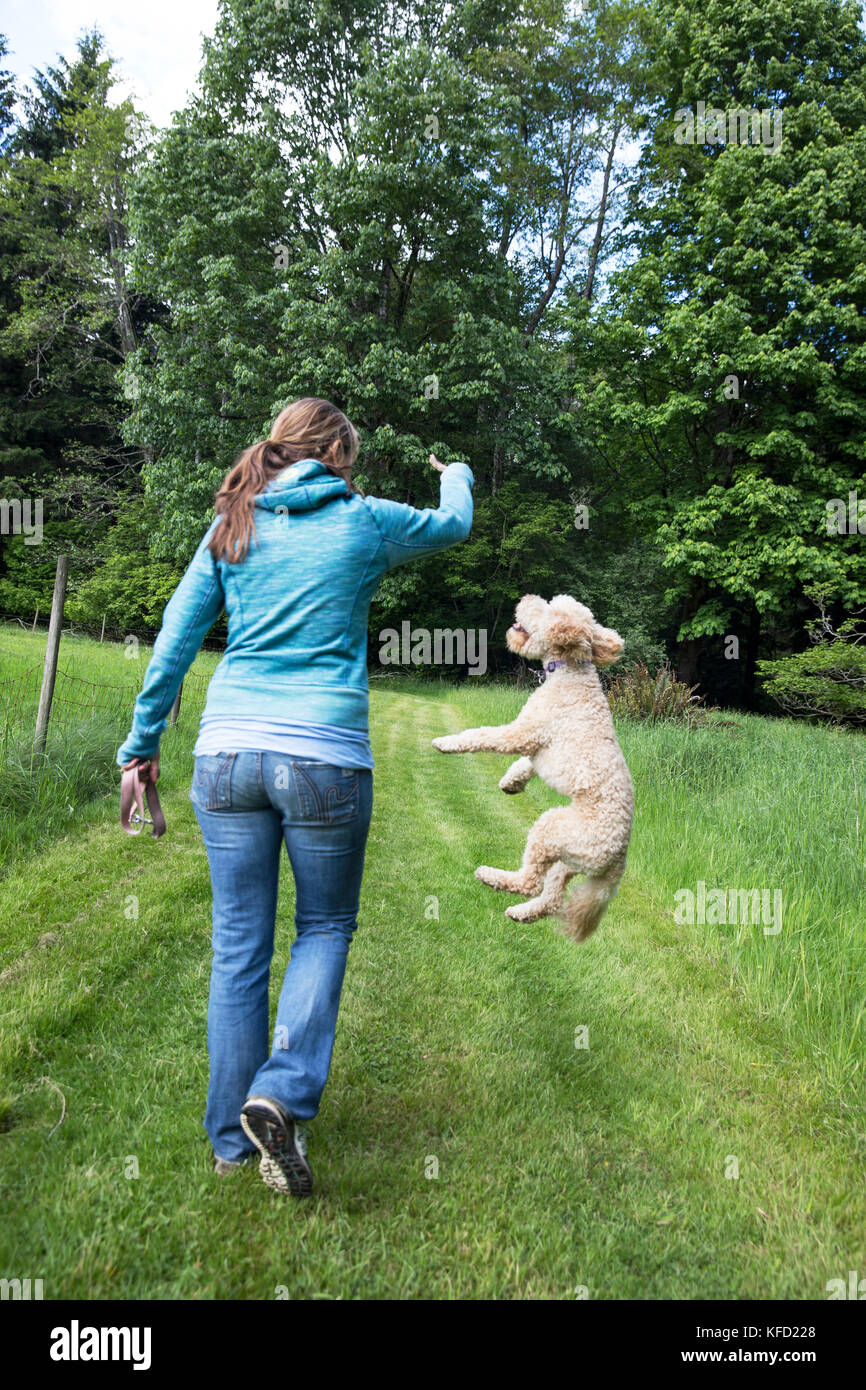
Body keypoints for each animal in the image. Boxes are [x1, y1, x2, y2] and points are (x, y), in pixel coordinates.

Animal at [436, 592, 633, 939]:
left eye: (547, 608)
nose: (526, 597)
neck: (568, 673)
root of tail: (619, 855)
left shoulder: (523, 732)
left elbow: (482, 736)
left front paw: (447, 742)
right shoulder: (535, 743)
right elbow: (525, 764)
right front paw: (511, 783)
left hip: (552, 828)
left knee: (530, 881)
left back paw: (491, 875)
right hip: (567, 862)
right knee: (550, 897)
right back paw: (520, 912)